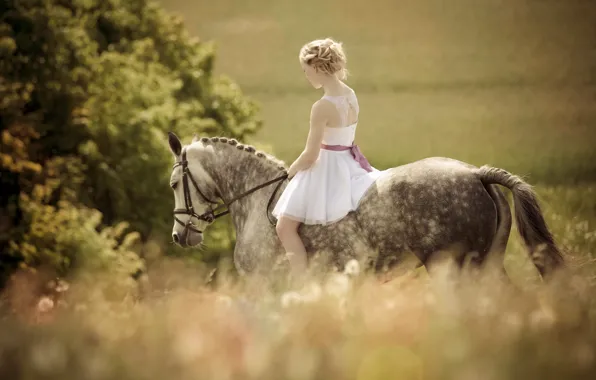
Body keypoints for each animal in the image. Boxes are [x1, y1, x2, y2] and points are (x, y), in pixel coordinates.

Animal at [168, 133, 564, 280]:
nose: (178, 235)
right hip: (486, 265)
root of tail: (476, 173)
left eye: (174, 184)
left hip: (455, 268)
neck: (254, 197)